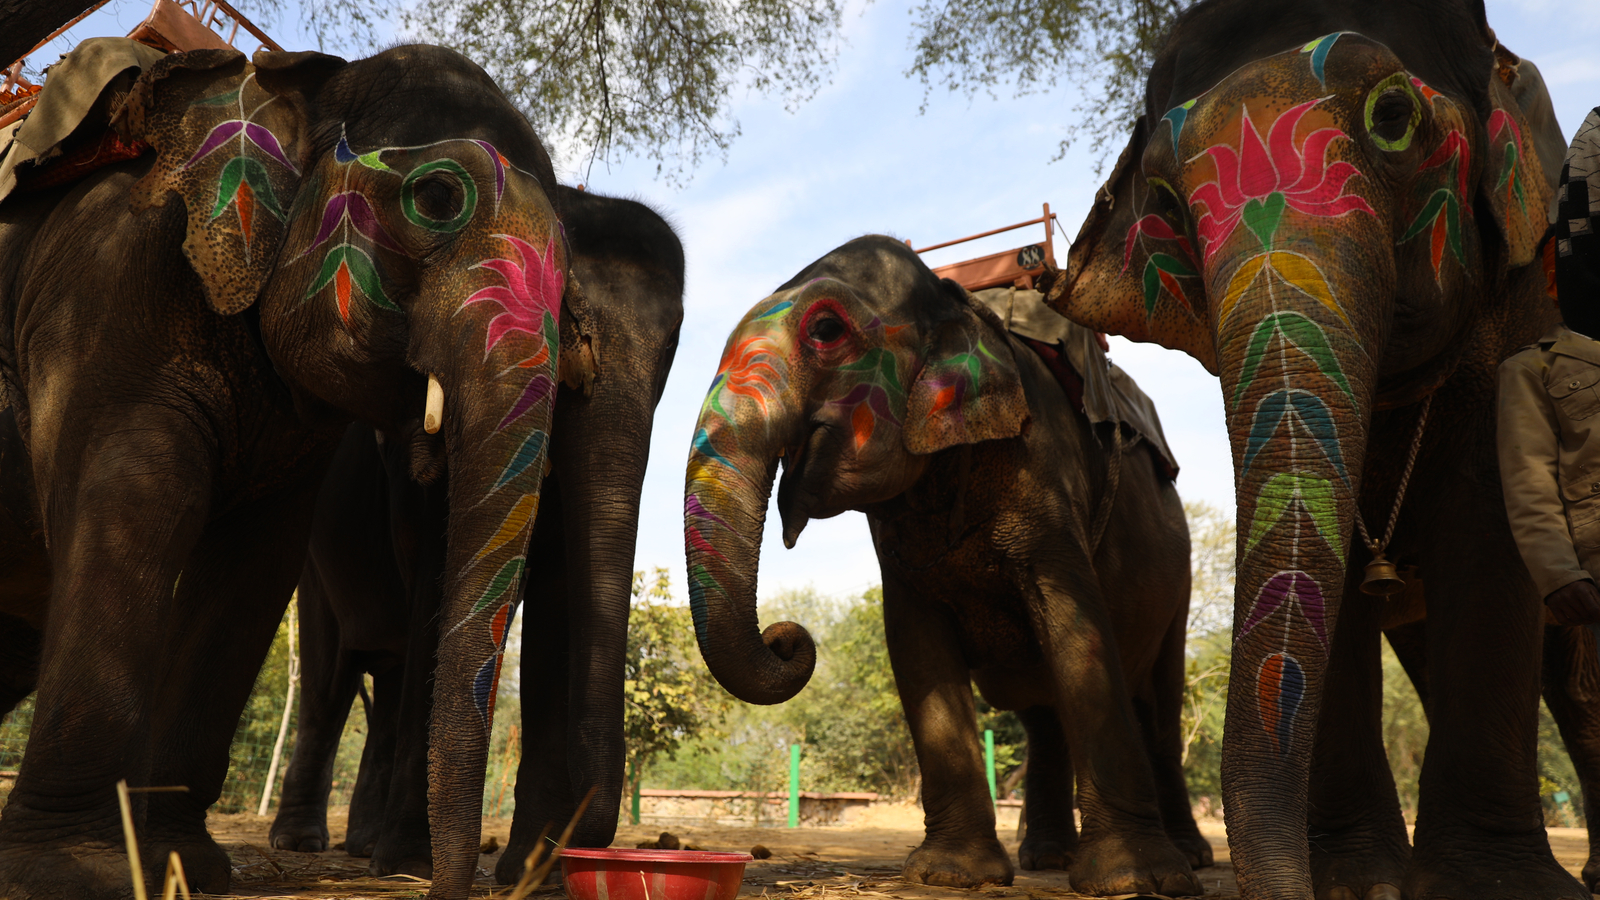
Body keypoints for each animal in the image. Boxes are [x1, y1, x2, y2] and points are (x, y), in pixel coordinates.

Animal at [0, 42, 570, 899]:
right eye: (437, 196)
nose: (436, 885)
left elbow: (255, 566)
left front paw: (183, 864)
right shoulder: (103, 284)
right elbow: (140, 499)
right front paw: (77, 876)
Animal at [265, 184, 684, 883]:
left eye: (675, 346)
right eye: (565, 320)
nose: (574, 849)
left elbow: (555, 602)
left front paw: (528, 874)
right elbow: (441, 579)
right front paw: (413, 865)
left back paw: (365, 847)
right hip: (319, 562)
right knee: (331, 677)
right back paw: (305, 844)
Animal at [681, 237, 1209, 896]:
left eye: (826, 330)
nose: (786, 636)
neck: (954, 299)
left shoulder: (1047, 474)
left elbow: (1075, 626)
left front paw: (1132, 879)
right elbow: (915, 645)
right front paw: (952, 874)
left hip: (1180, 573)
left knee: (1161, 704)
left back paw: (1188, 860)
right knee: (1046, 716)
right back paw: (1046, 859)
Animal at [1049, 0, 1580, 896]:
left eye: (1393, 118)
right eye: (1164, 201)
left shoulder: (1523, 312)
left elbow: (1489, 522)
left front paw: (1496, 889)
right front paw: (1358, 885)